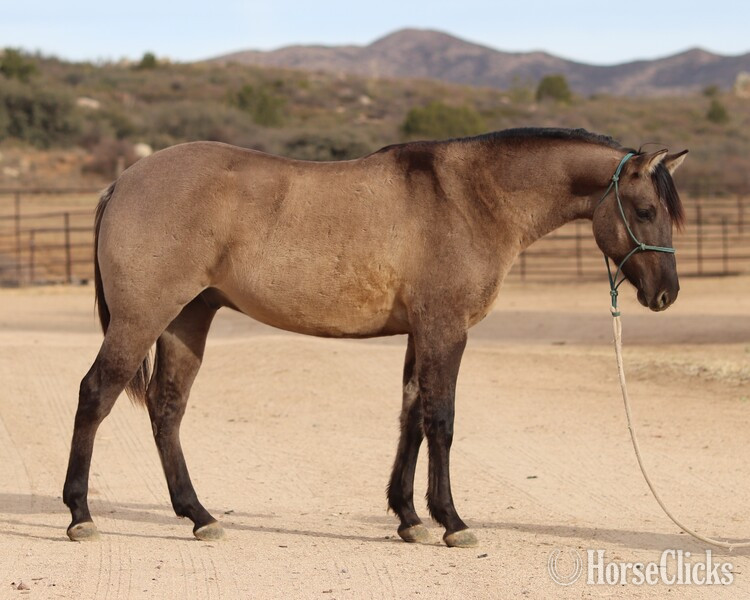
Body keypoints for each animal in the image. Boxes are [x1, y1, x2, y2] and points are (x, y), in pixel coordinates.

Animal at [62, 127, 687, 547]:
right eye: (644, 209)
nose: (666, 295)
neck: (469, 197)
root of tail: (123, 181)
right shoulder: (445, 330)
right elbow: (441, 420)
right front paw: (452, 522)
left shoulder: (420, 333)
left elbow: (410, 416)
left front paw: (409, 518)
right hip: (143, 318)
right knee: (95, 394)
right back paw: (81, 515)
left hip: (187, 319)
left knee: (167, 410)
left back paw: (199, 516)